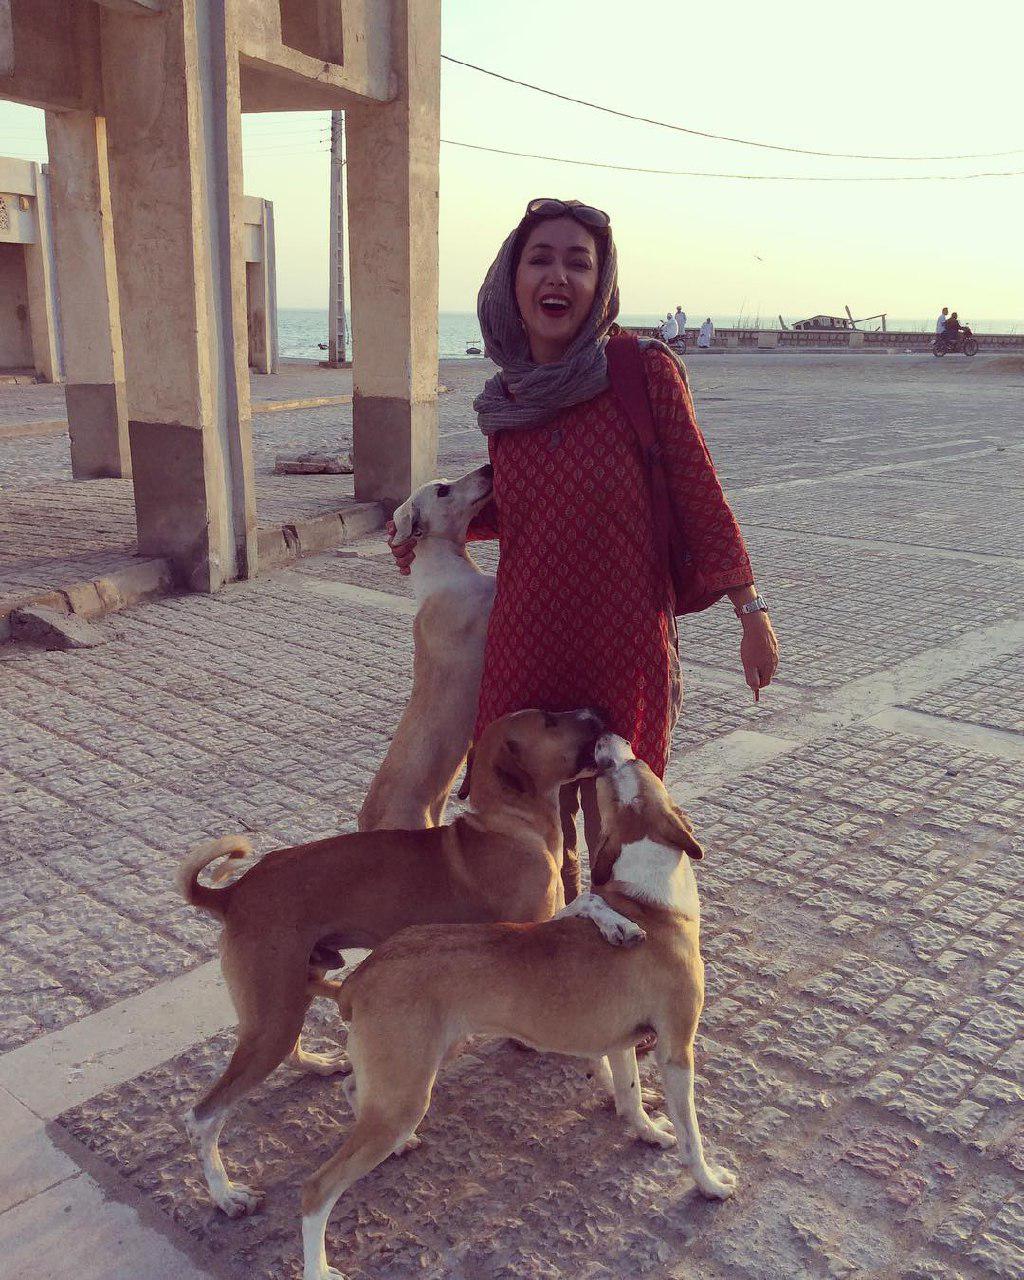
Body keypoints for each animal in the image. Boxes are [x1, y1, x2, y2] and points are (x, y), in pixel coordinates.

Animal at [180, 708, 641, 1218]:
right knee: (203, 1116)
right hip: (272, 1017)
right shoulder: (522, 928)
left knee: (296, 1051)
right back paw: (226, 1194)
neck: (509, 827)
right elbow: (585, 905)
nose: (597, 713)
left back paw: (323, 1068)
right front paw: (616, 923)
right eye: (549, 719)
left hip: (291, 991)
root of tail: (232, 894)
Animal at [298, 733, 735, 1280]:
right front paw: (709, 1182)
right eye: (622, 773)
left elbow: (630, 1096)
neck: (650, 906)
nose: (606, 738)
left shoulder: (619, 1041)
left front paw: (647, 1132)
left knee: (354, 1087)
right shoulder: (677, 1050)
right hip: (405, 1095)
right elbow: (691, 1134)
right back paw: (319, 1263)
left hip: (408, 1073)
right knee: (318, 1190)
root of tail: (357, 979)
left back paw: (401, 1144)